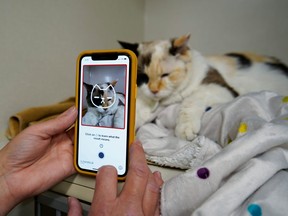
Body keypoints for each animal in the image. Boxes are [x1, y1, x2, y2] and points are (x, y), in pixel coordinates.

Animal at [118, 34, 288, 140]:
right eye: (143, 77)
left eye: (165, 75)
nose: (153, 90)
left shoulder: (220, 88)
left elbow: (191, 100)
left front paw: (185, 128)